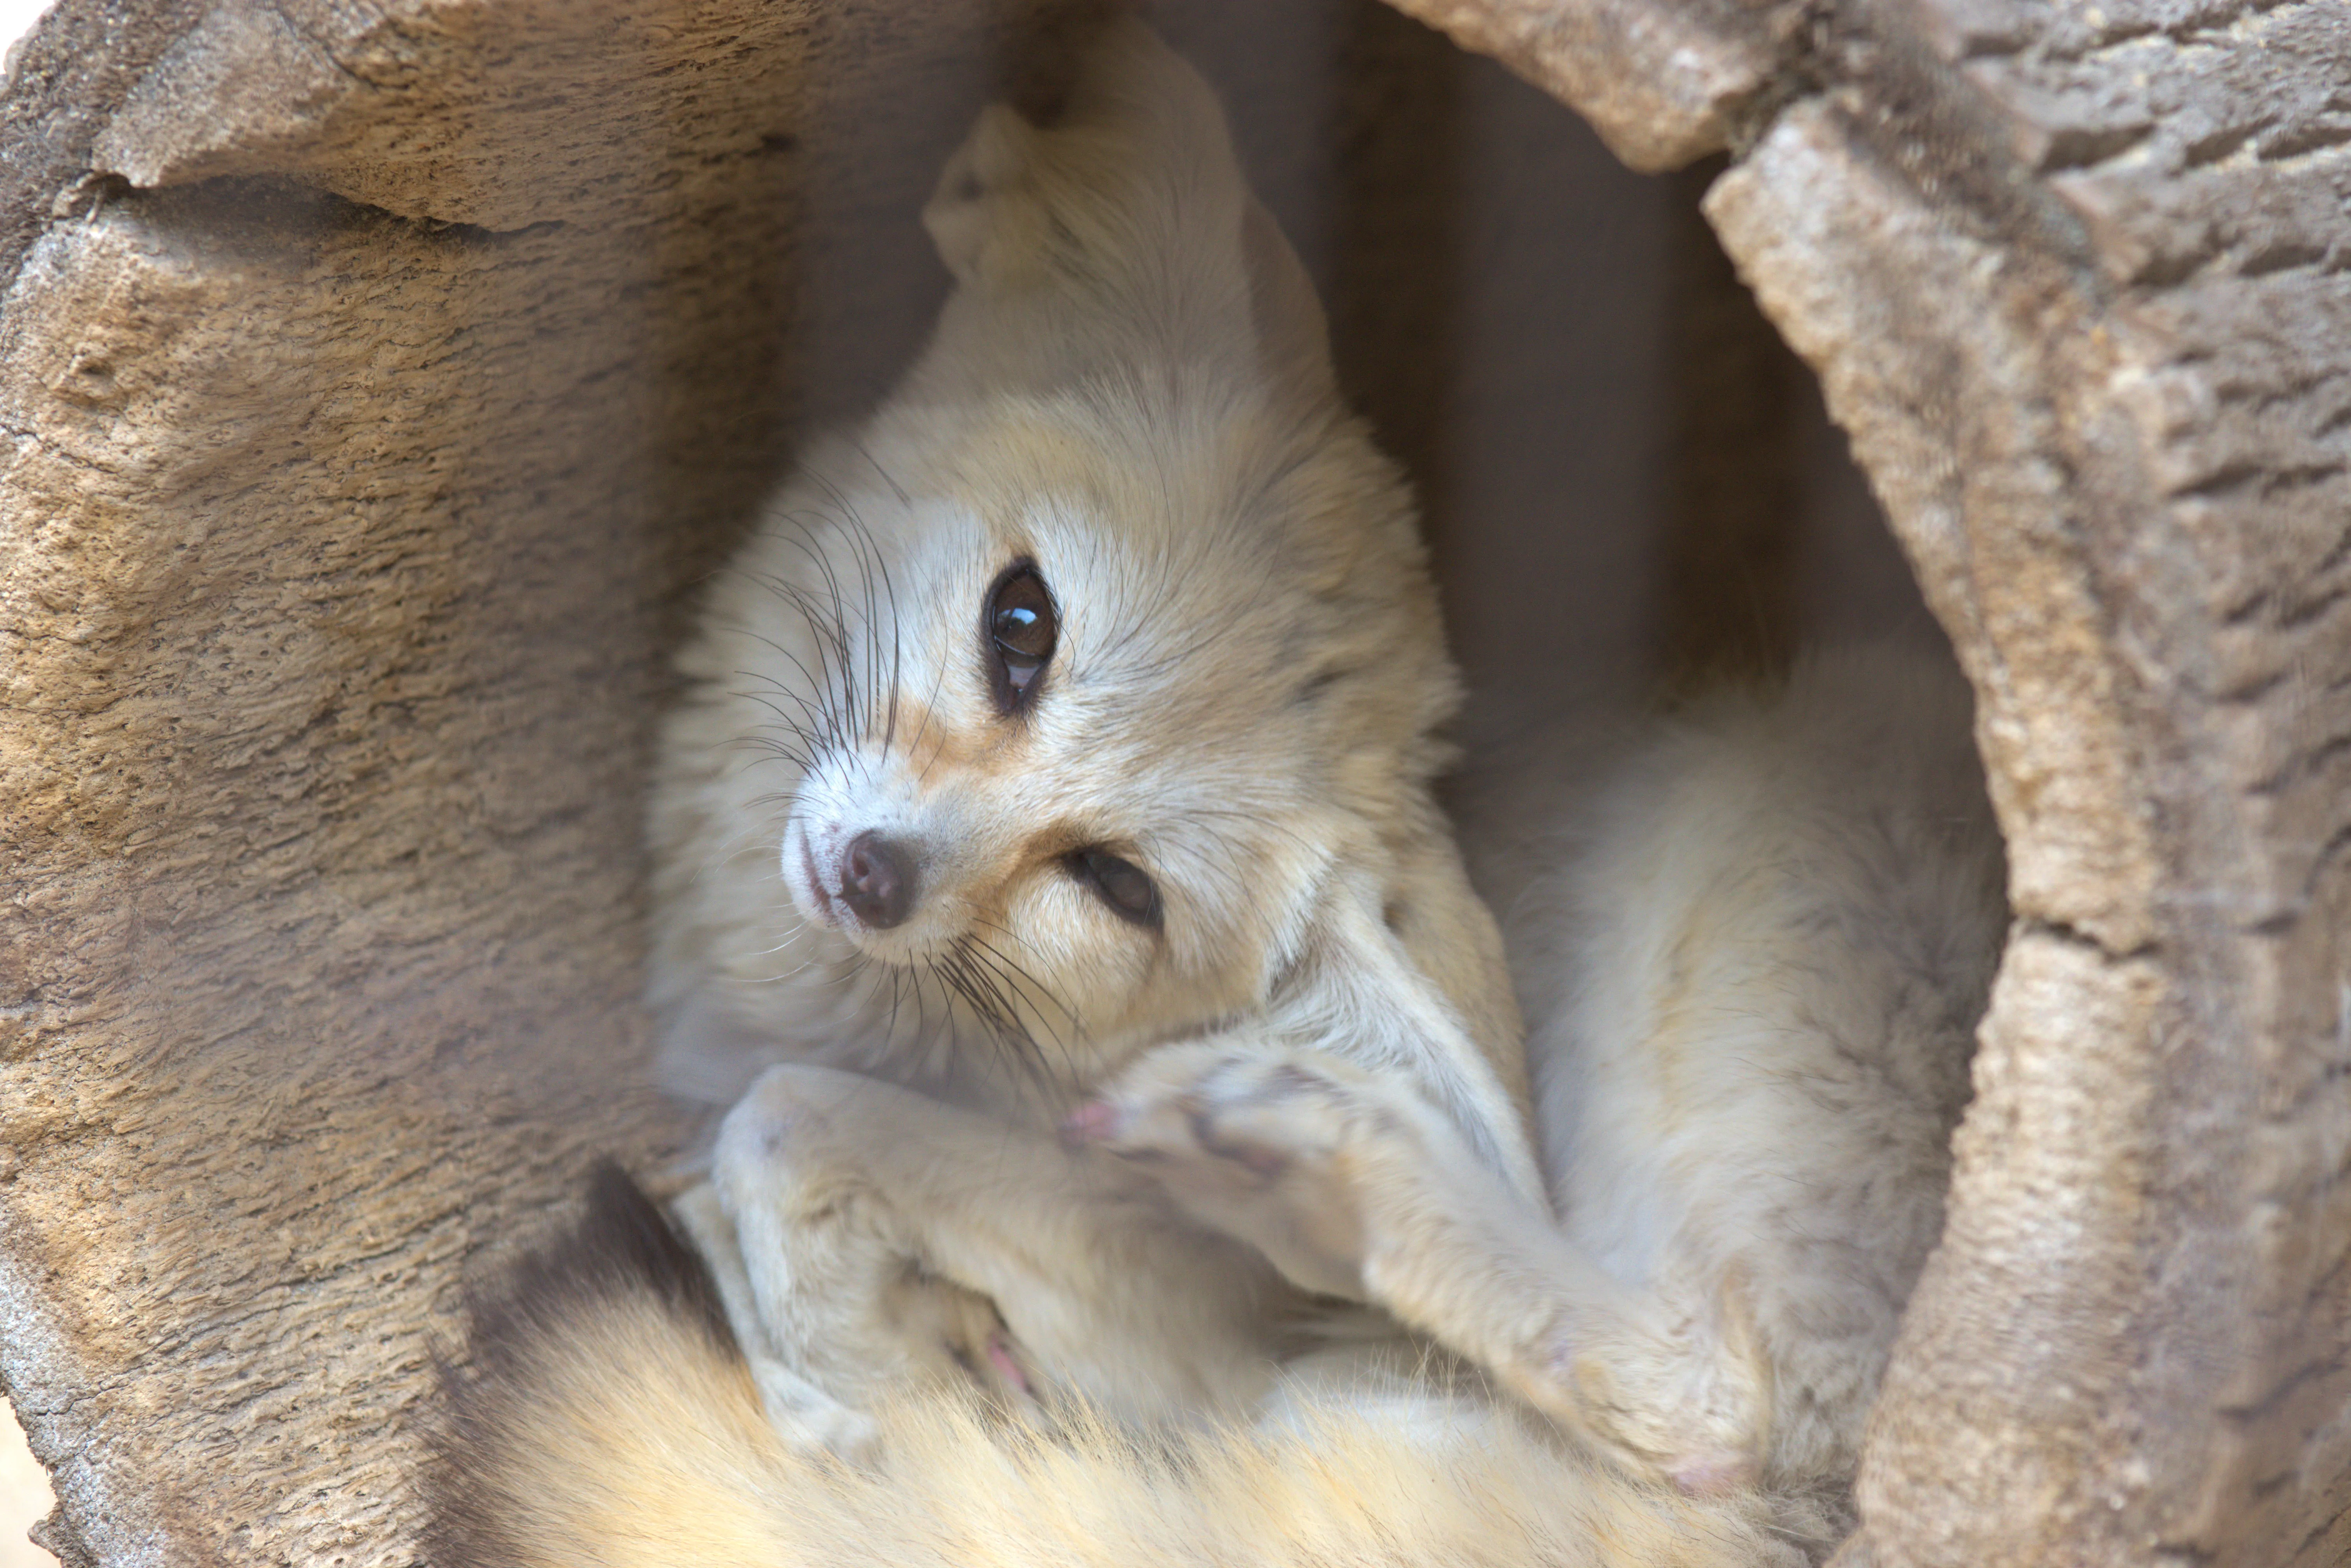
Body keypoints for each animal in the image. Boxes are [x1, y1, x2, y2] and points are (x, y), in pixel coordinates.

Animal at [429, 19, 2007, 1568]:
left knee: (1711, 1393)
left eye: (1117, 886)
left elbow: (783, 1124)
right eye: (1020, 625)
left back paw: (1328, 1160)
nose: (874, 874)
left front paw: (851, 1387)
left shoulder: (1173, 1296)